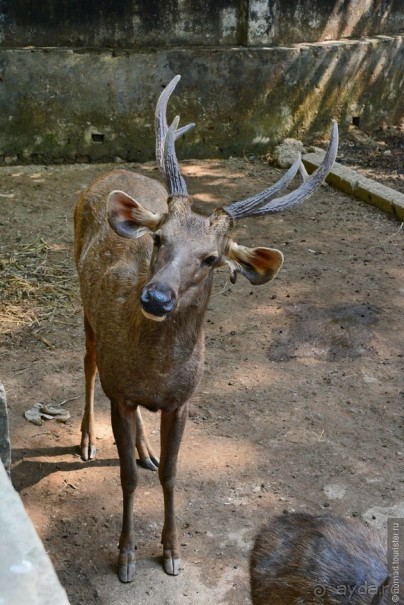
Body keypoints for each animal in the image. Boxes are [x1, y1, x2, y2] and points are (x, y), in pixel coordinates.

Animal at [73, 74, 338, 580]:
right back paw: (87, 441)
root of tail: (108, 177)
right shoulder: (120, 392)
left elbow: (173, 473)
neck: (153, 373)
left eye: (211, 258)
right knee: (89, 364)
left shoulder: (183, 401)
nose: (156, 298)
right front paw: (126, 555)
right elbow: (126, 477)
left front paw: (172, 551)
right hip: (85, 308)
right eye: (159, 238)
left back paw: (145, 449)